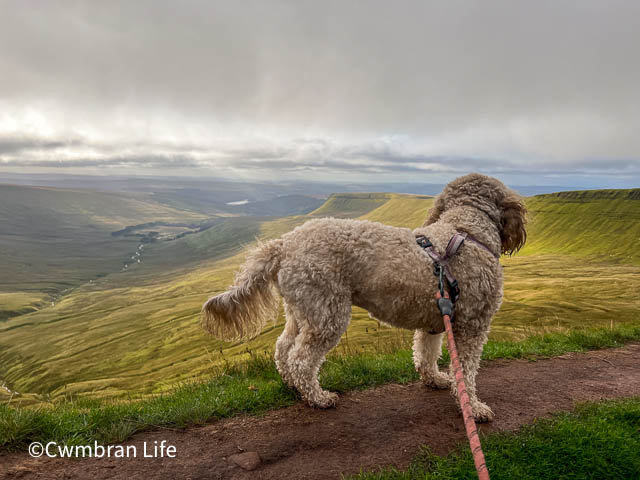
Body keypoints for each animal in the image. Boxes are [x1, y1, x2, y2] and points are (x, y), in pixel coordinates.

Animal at [202, 174, 528, 422]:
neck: (465, 231)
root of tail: (284, 243)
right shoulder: (471, 326)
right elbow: (468, 373)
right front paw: (473, 407)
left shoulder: (436, 320)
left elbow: (426, 355)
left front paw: (434, 380)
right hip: (327, 313)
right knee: (301, 359)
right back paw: (317, 397)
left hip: (302, 309)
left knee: (283, 349)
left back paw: (293, 386)